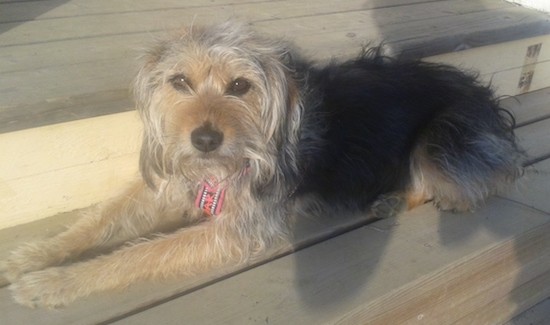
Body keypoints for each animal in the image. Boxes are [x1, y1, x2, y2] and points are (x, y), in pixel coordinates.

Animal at [1, 22, 528, 306]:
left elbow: (139, 255)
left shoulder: (238, 229)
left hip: (442, 136)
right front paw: (29, 258)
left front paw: (53, 282)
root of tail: (491, 106)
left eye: (240, 86)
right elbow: (98, 222)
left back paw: (411, 197)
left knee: (478, 181)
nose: (204, 139)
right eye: (179, 81)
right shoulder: (175, 182)